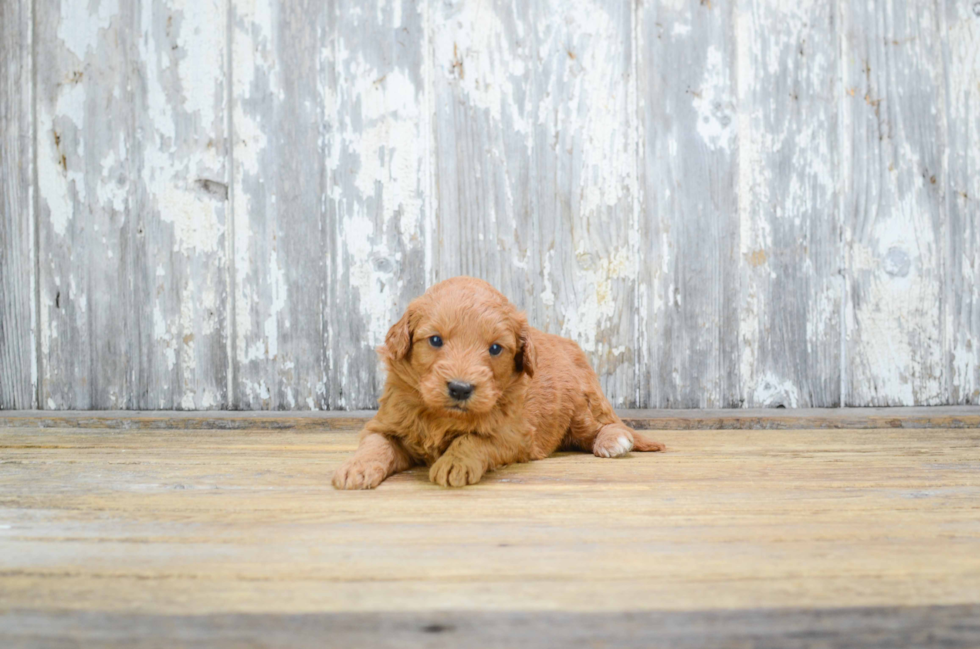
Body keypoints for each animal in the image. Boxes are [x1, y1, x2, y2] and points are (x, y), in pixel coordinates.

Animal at [332, 276, 668, 488]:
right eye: (435, 340)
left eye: (495, 348)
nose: (460, 388)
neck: (443, 416)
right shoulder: (387, 422)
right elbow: (376, 443)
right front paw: (355, 468)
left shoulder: (513, 434)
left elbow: (474, 440)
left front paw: (454, 463)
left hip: (580, 406)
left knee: (605, 426)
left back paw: (613, 440)